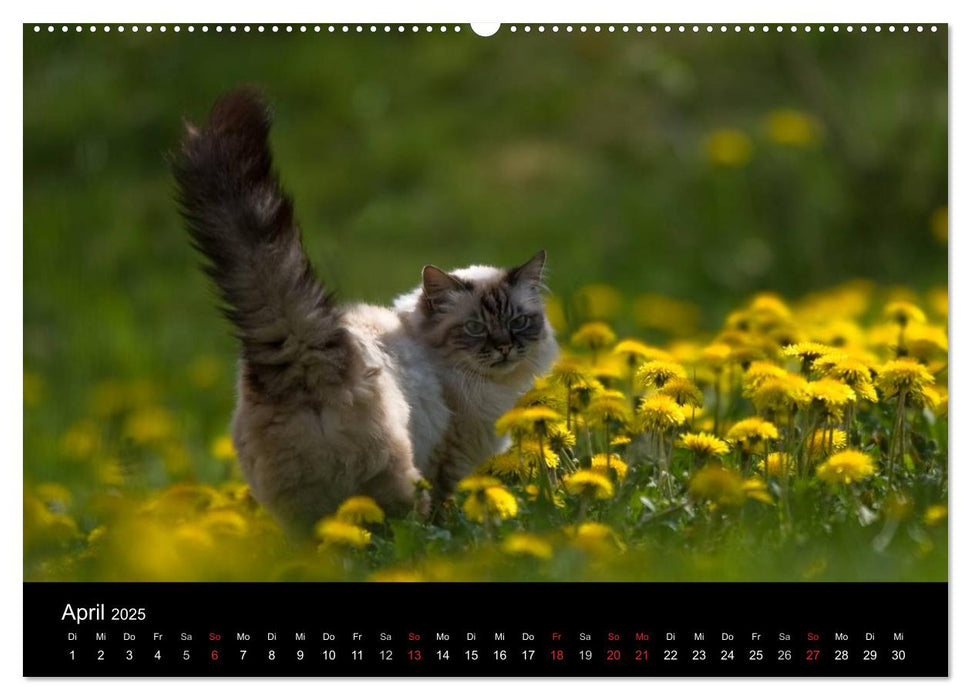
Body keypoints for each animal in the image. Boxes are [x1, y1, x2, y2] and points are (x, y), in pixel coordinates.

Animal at [173, 89, 556, 536]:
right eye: (476, 327)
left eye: (518, 322)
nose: (505, 347)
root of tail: (305, 357)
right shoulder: (450, 458)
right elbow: (448, 503)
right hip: (398, 479)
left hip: (296, 506)